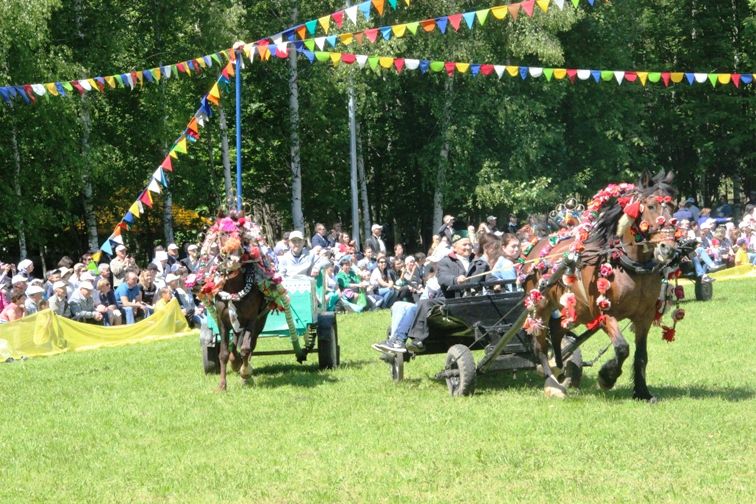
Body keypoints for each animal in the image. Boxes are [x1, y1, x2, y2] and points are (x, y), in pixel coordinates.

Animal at [520, 172, 680, 402]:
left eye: (674, 207)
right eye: (650, 206)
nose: (668, 248)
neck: (627, 265)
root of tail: (538, 246)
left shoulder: (645, 316)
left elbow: (641, 355)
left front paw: (642, 391)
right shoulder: (604, 313)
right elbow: (622, 348)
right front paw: (607, 377)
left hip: (577, 310)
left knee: (557, 330)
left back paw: (559, 366)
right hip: (540, 305)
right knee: (539, 342)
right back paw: (552, 382)